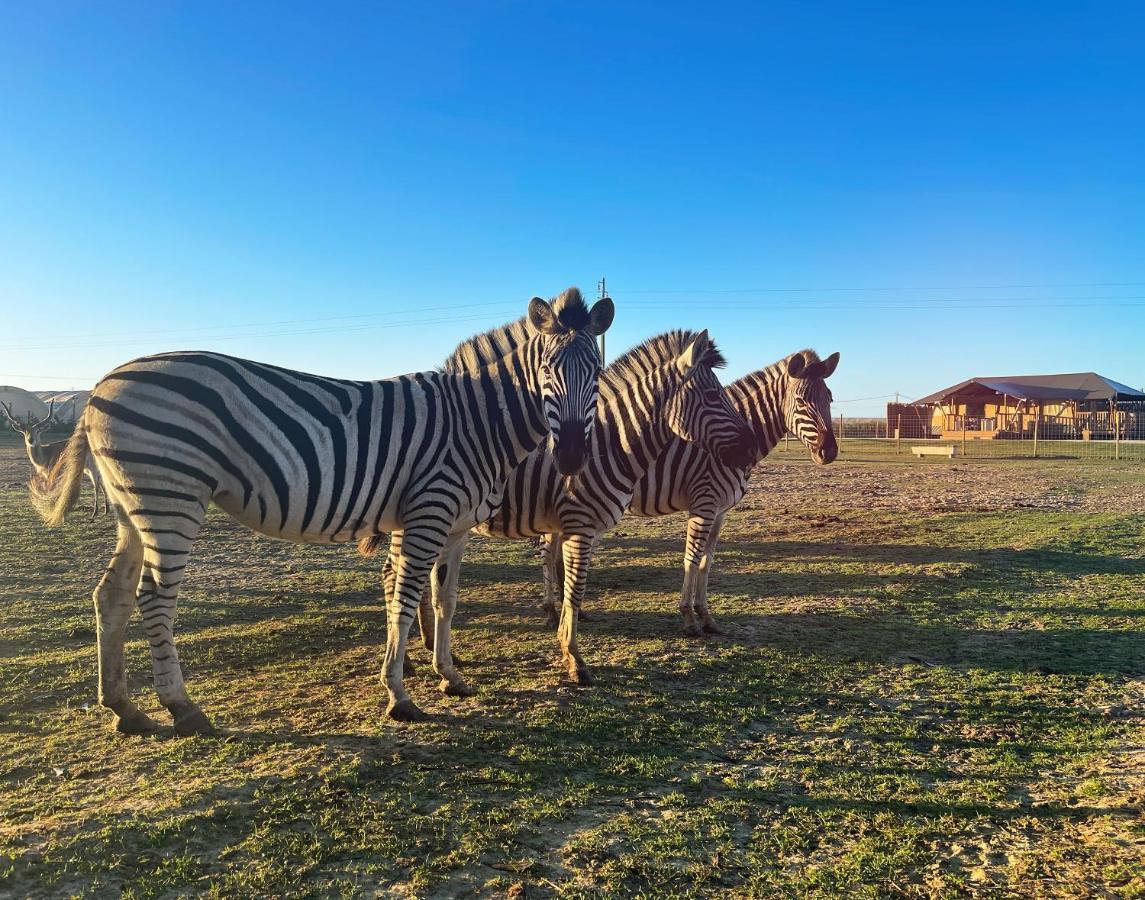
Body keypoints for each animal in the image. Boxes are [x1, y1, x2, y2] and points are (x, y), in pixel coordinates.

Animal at [31, 287, 613, 728]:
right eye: (546, 367)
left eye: (597, 369)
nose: (572, 456)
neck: (474, 421)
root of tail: (100, 385)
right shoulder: (427, 514)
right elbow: (404, 602)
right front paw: (399, 696)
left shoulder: (455, 527)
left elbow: (444, 601)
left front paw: (451, 677)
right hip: (171, 499)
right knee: (154, 598)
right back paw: (182, 708)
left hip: (136, 509)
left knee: (112, 595)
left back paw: (124, 709)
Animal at [364, 327, 760, 682]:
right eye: (713, 396)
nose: (751, 449)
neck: (609, 445)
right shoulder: (580, 525)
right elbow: (575, 588)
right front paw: (574, 659)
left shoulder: (580, 528)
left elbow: (569, 584)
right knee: (393, 576)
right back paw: (410, 661)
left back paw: (433, 648)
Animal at [535, 343, 842, 632]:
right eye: (800, 401)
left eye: (829, 398)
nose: (829, 452)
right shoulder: (704, 504)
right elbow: (691, 559)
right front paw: (688, 617)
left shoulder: (720, 512)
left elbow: (707, 562)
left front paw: (706, 616)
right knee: (549, 551)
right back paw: (550, 610)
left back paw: (572, 609)